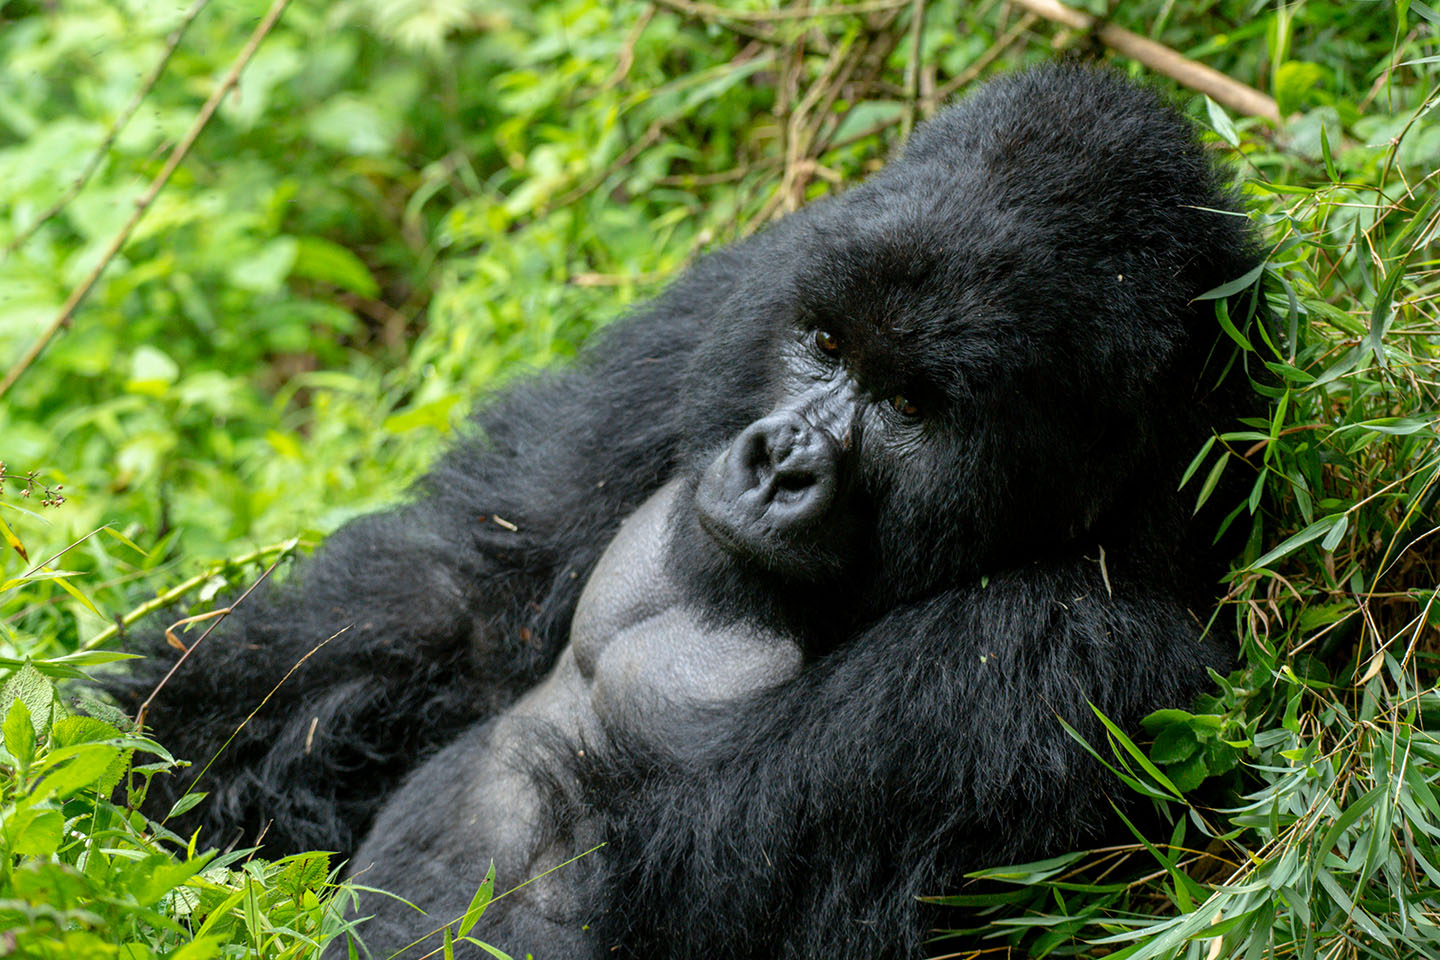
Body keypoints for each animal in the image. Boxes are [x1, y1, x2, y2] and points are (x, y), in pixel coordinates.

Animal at [112, 67, 1261, 960]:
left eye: (911, 408)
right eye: (826, 345)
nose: (783, 460)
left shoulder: (1066, 656)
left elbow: (680, 878)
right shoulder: (743, 294)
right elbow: (470, 597)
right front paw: (144, 769)